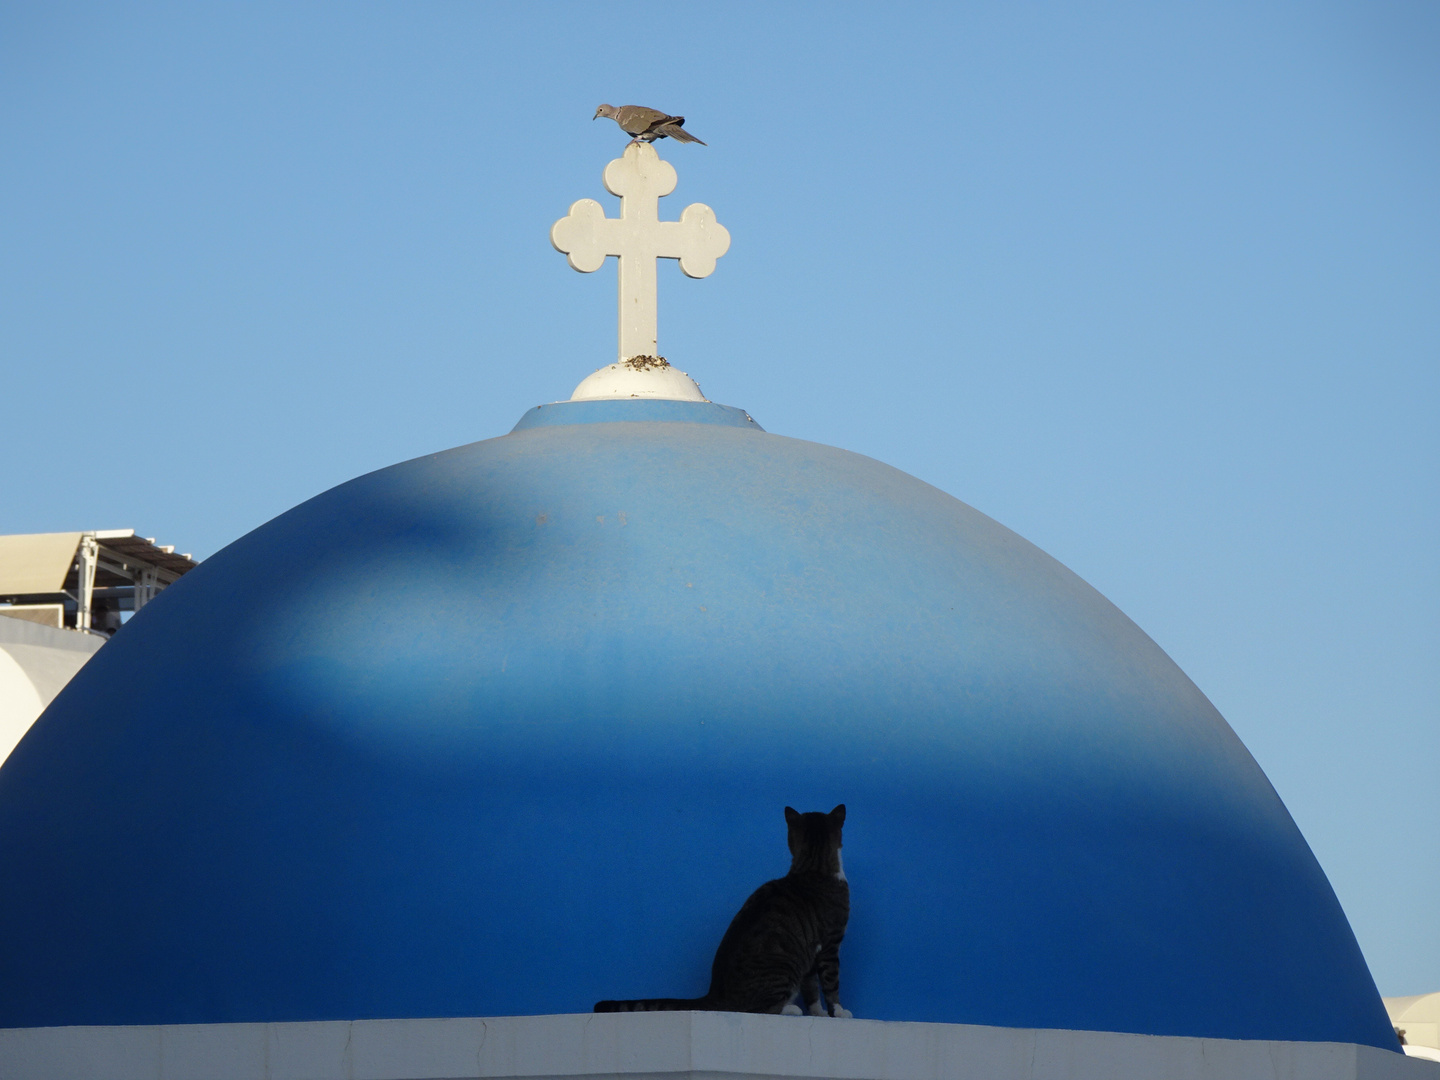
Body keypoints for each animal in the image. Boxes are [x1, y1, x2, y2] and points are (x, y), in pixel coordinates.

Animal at [599, 806, 852, 1025]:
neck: (813, 867)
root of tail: (715, 993)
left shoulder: (811, 953)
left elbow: (811, 989)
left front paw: (819, 1014)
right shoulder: (830, 944)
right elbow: (831, 983)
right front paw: (839, 1011)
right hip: (784, 967)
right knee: (759, 1008)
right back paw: (791, 1009)